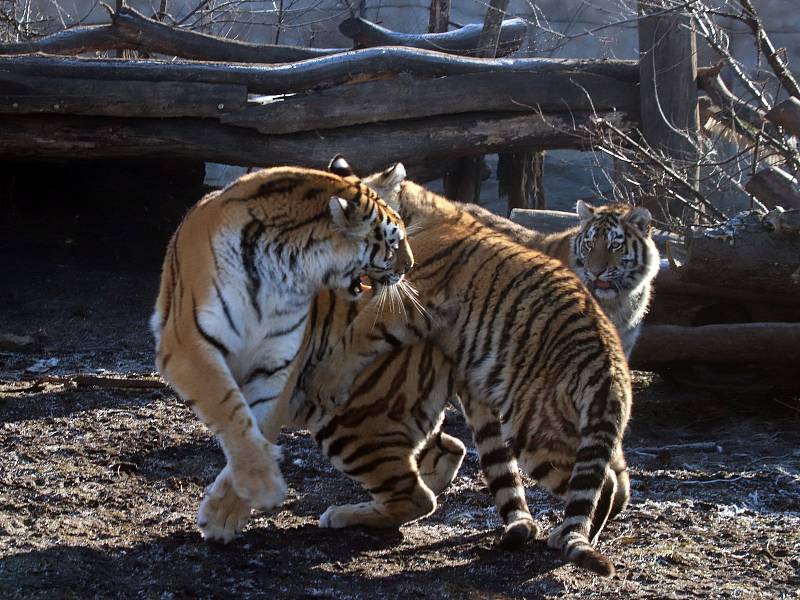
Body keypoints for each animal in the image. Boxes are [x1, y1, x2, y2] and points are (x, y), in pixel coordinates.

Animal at [150, 162, 412, 540]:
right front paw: (262, 486)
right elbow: (228, 409)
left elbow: (257, 424)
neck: (287, 269)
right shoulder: (188, 344)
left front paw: (225, 513)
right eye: (393, 244)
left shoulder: (277, 366)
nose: (409, 267)